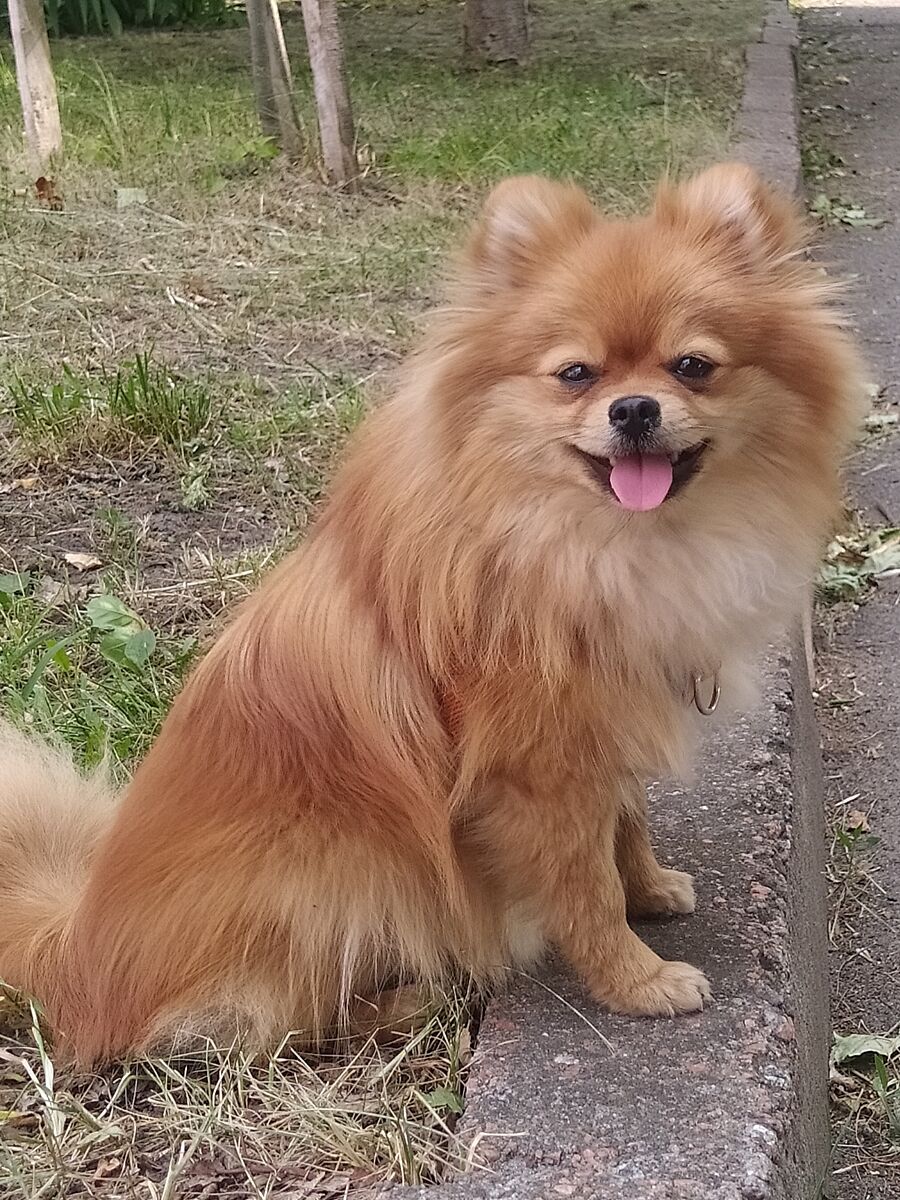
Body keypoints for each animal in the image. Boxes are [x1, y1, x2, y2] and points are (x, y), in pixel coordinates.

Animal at [0, 164, 864, 1065]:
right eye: (576, 375)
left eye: (693, 365)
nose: (633, 408)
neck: (592, 548)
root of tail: (77, 950)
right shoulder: (540, 770)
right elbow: (585, 887)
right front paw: (638, 980)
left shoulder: (608, 723)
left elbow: (626, 823)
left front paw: (651, 887)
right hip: (340, 870)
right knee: (283, 1023)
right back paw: (416, 1002)